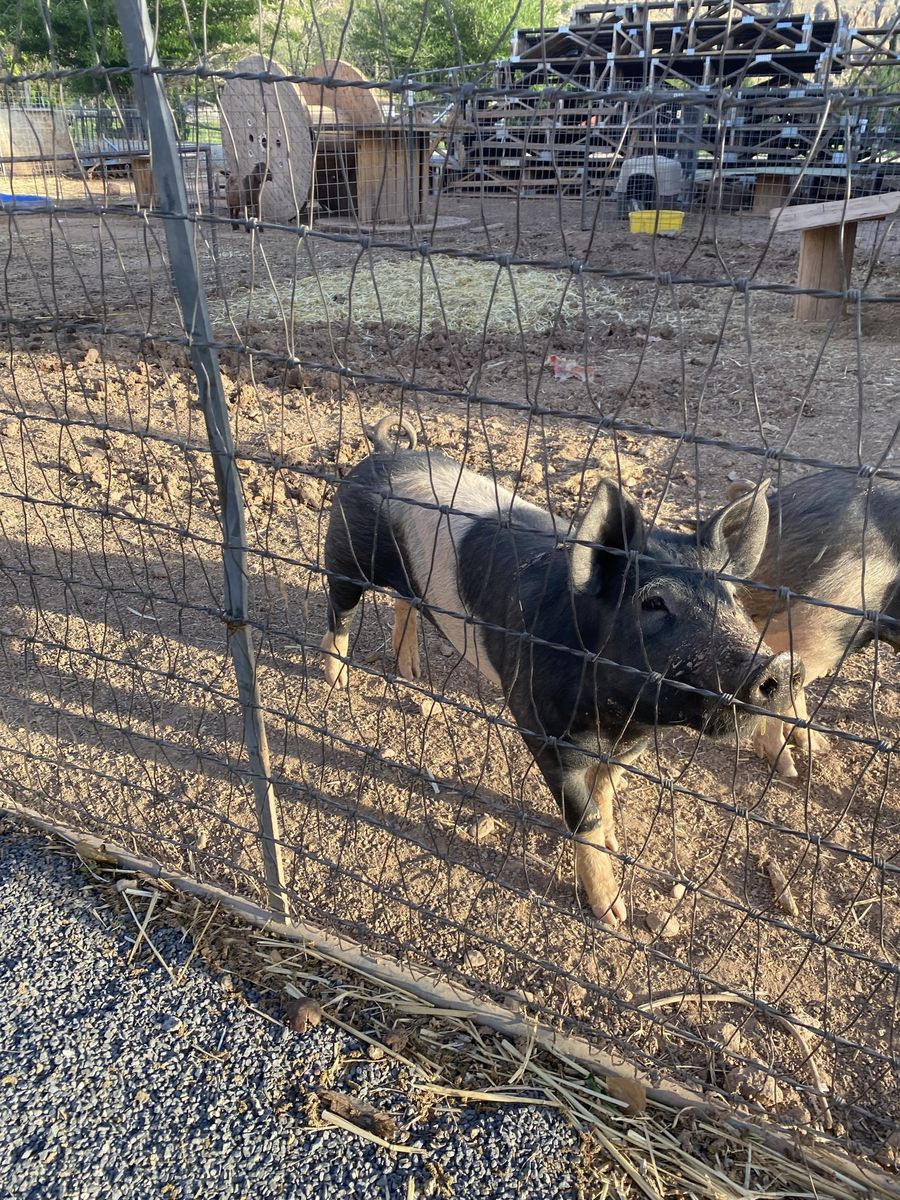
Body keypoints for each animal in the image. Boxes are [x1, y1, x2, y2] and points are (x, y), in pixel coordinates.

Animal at [320, 417, 796, 926]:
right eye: (653, 603)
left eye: (734, 598)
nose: (779, 664)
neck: (617, 718)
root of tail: (384, 453)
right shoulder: (540, 724)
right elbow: (582, 815)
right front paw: (614, 916)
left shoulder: (634, 742)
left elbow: (606, 789)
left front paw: (614, 842)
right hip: (344, 554)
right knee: (339, 613)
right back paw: (338, 680)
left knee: (403, 602)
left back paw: (412, 673)